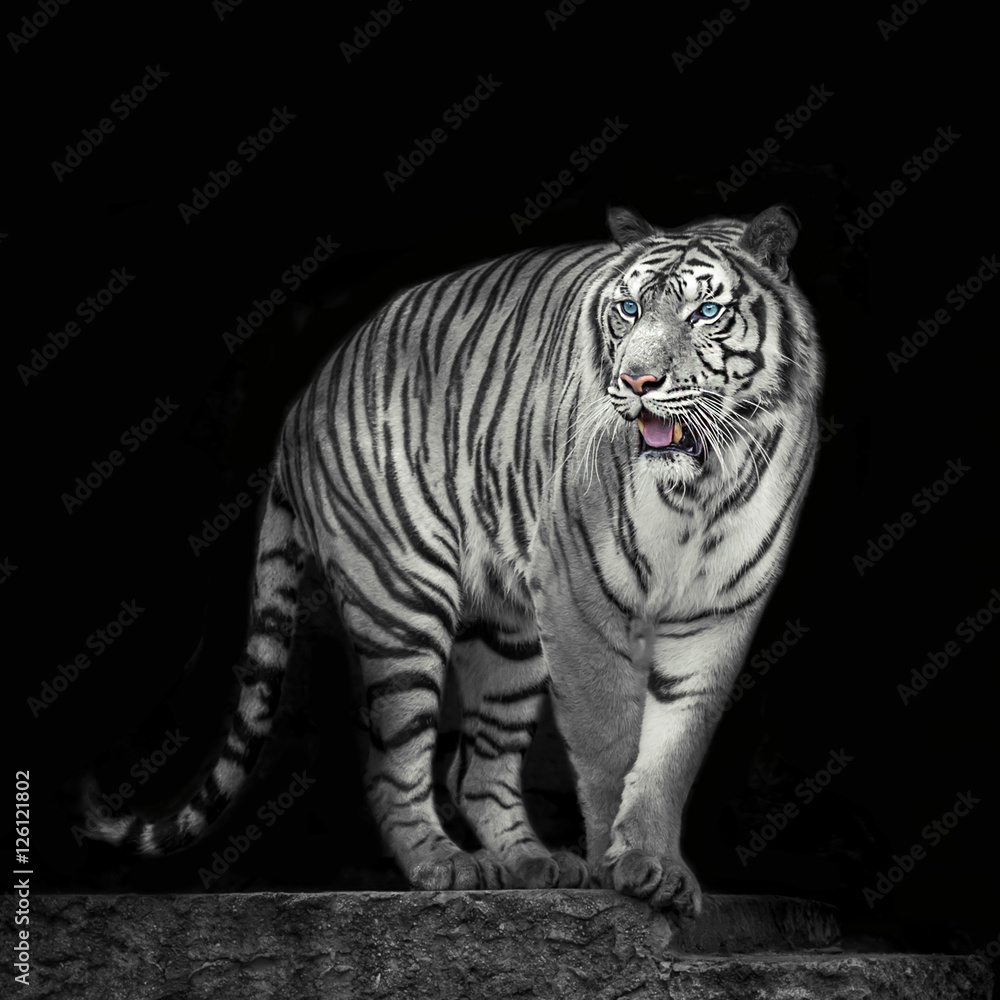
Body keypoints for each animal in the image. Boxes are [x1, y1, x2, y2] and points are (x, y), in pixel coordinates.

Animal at [83, 204, 823, 918]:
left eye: (705, 313)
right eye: (629, 309)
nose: (637, 381)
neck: (703, 484)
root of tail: (302, 399)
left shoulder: (719, 613)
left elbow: (672, 752)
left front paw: (656, 868)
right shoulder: (578, 596)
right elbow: (609, 742)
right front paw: (618, 869)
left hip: (509, 633)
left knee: (478, 770)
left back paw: (533, 863)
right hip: (403, 604)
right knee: (394, 764)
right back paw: (446, 866)